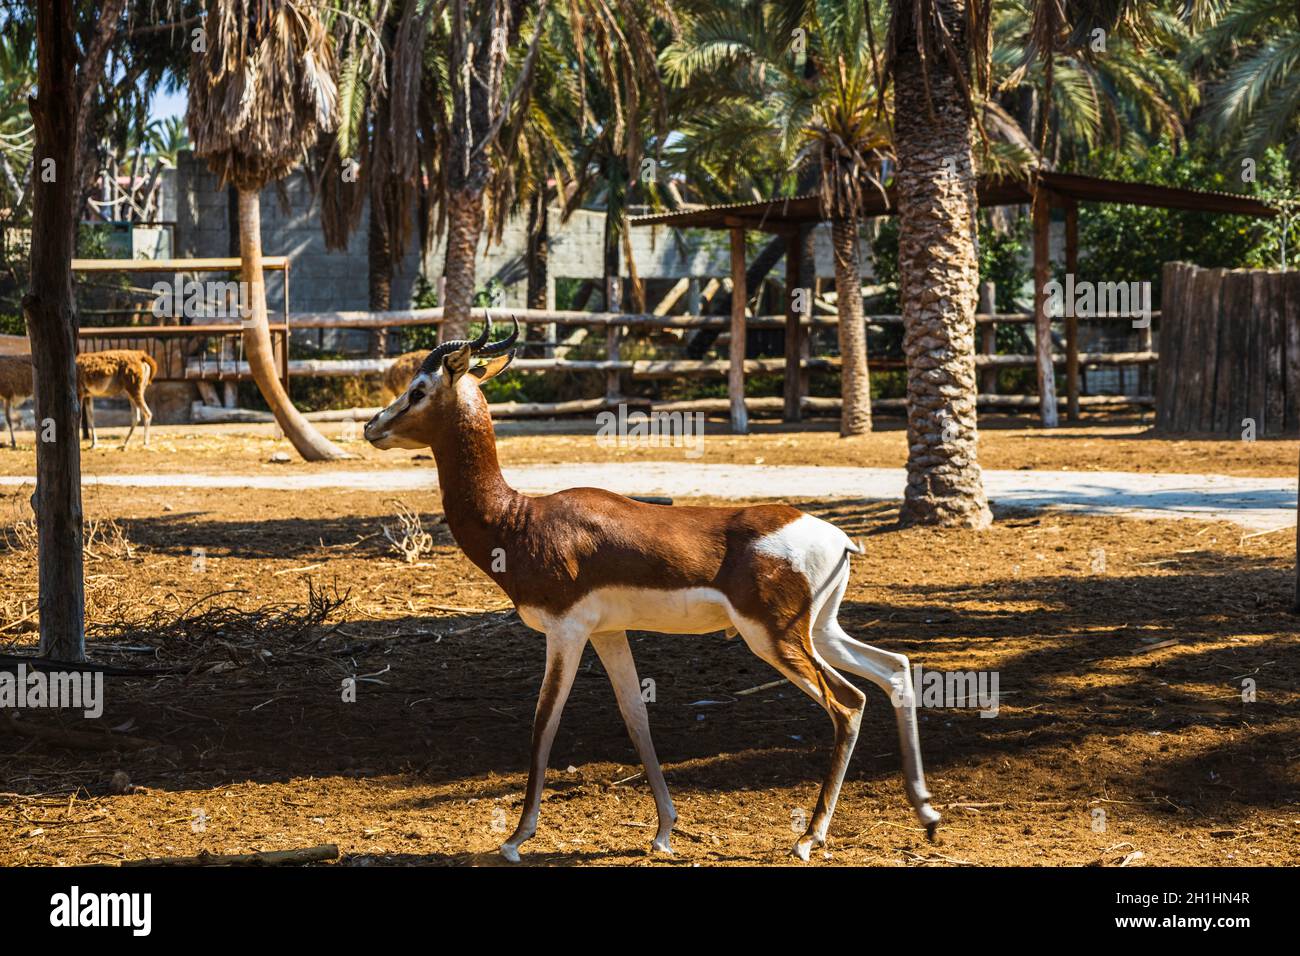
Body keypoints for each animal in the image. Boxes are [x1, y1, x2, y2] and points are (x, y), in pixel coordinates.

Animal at [364, 316, 940, 862]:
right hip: (821, 631)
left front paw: (515, 839)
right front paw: (664, 831)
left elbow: (544, 722)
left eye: (418, 389)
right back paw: (926, 814)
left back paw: (808, 838)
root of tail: (838, 538)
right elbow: (635, 717)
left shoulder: (565, 630)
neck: (519, 519)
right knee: (895, 668)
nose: (372, 426)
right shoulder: (608, 632)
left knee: (848, 703)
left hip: (774, 638)